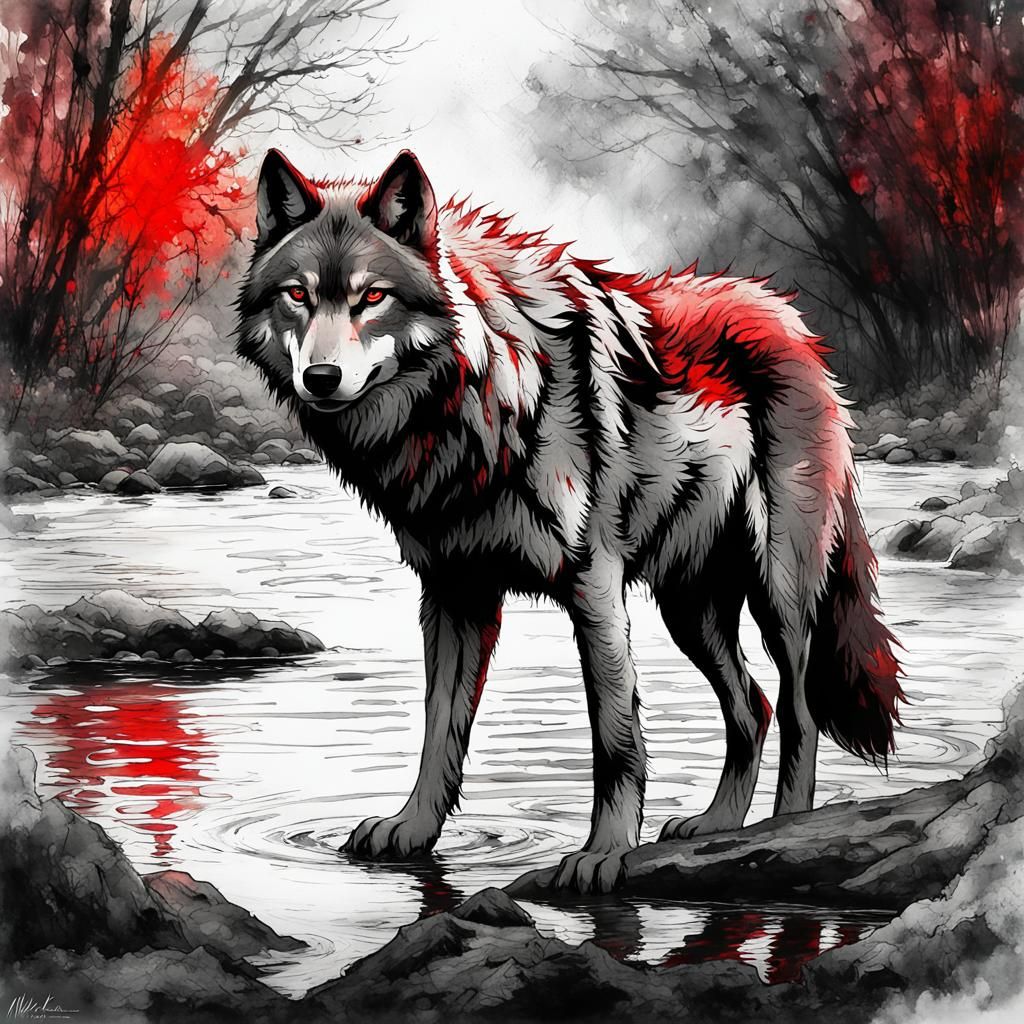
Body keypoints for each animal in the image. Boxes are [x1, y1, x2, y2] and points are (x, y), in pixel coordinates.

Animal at [236, 148, 904, 893]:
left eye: (371, 297)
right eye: (298, 295)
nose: (320, 378)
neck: (481, 402)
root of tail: (792, 320)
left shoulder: (593, 587)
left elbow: (616, 737)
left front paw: (604, 853)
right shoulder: (454, 594)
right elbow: (440, 728)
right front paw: (413, 829)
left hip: (779, 593)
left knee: (797, 710)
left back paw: (780, 830)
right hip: (690, 609)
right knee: (751, 708)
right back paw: (720, 825)